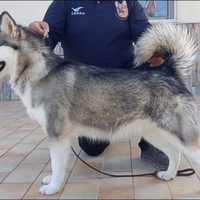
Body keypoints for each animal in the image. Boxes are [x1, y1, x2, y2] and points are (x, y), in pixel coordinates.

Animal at [0, 11, 198, 195]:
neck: (38, 71)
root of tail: (168, 72)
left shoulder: (56, 134)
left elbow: (56, 165)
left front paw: (53, 188)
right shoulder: (57, 135)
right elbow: (57, 166)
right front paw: (52, 181)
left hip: (181, 136)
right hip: (153, 132)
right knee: (174, 152)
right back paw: (169, 174)